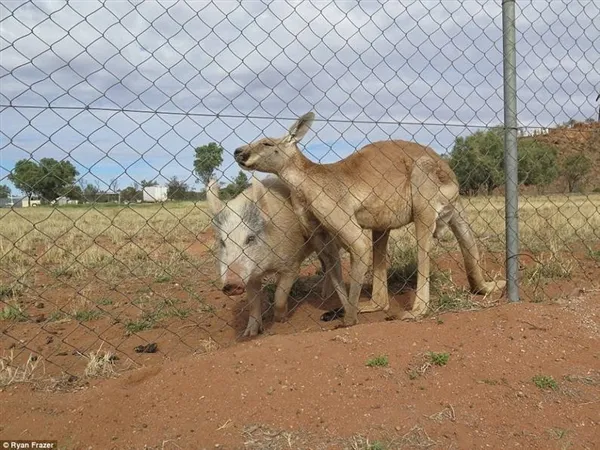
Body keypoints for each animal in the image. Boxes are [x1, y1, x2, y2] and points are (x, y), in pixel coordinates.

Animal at [206, 174, 340, 336]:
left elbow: (280, 295)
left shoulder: (291, 264)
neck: (267, 267)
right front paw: (249, 334)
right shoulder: (250, 276)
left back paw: (326, 295)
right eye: (222, 242)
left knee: (333, 262)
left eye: (250, 238)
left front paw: (280, 320)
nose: (231, 284)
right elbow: (253, 304)